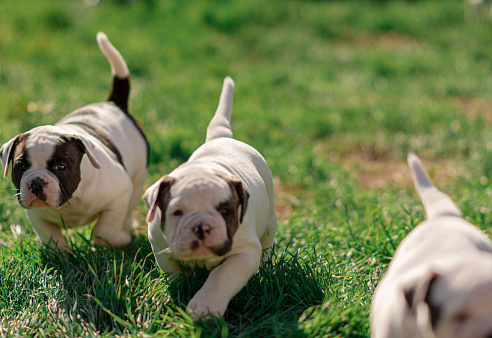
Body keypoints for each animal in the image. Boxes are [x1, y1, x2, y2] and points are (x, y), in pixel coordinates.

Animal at [0, 33, 150, 251]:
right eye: (20, 166)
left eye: (61, 167)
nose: (36, 182)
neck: (71, 200)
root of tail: (113, 103)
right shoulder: (36, 215)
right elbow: (51, 236)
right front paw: (61, 253)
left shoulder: (119, 195)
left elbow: (105, 229)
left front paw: (114, 242)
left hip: (137, 178)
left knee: (129, 209)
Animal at [144, 76, 278, 320]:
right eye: (177, 212)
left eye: (224, 211)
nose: (201, 226)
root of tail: (222, 138)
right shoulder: (159, 246)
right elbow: (174, 272)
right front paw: (179, 289)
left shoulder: (244, 253)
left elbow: (222, 276)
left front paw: (205, 306)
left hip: (270, 218)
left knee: (267, 244)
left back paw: (265, 268)